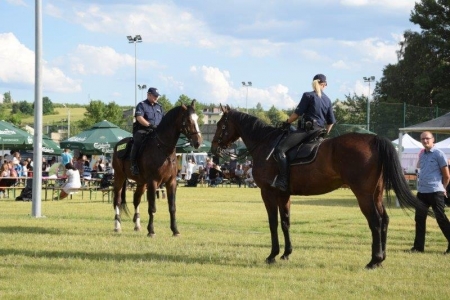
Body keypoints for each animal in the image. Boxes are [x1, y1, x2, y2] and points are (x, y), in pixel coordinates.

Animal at [112, 101, 202, 237]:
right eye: (187, 120)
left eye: (197, 119)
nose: (198, 142)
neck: (163, 149)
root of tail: (118, 145)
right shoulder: (153, 182)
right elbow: (152, 208)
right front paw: (151, 231)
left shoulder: (171, 182)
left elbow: (172, 207)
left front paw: (175, 230)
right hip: (119, 177)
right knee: (117, 200)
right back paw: (117, 226)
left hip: (141, 183)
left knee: (136, 200)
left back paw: (137, 225)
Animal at [211, 106, 428, 270]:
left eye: (221, 125)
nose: (213, 149)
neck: (266, 144)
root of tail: (373, 139)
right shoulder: (284, 194)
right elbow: (285, 222)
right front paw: (286, 253)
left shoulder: (268, 193)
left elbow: (273, 223)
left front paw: (272, 255)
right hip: (376, 193)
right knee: (384, 220)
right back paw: (381, 259)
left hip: (364, 195)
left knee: (375, 222)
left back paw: (374, 260)